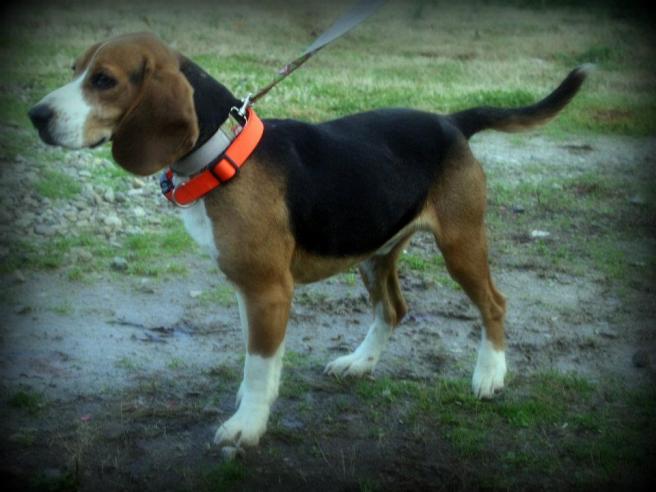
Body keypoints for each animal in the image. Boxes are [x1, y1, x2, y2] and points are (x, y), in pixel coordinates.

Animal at [28, 32, 588, 447]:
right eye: (74, 69)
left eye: (104, 80)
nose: (35, 115)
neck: (222, 150)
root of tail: (451, 121)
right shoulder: (249, 290)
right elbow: (259, 361)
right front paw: (254, 406)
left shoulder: (267, 290)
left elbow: (258, 366)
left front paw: (246, 427)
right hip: (374, 253)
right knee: (393, 309)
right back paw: (360, 362)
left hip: (461, 245)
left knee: (493, 303)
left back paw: (490, 375)